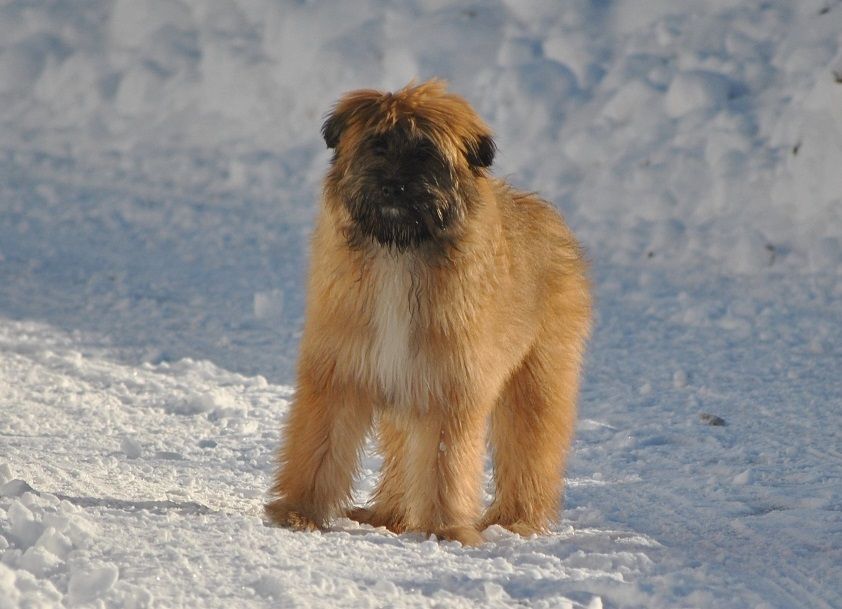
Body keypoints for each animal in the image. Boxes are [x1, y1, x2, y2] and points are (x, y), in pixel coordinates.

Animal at [265, 80, 591, 545]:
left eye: (424, 153)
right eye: (378, 145)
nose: (393, 186)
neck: (400, 250)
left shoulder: (448, 386)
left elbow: (445, 465)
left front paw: (445, 530)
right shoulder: (342, 371)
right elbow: (319, 446)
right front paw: (299, 511)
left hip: (537, 378)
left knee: (531, 447)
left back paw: (517, 519)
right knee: (403, 454)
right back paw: (389, 514)